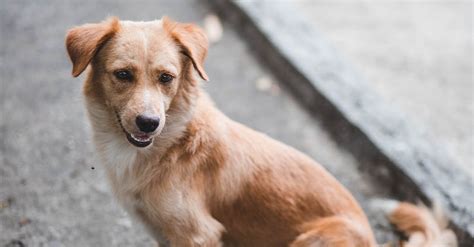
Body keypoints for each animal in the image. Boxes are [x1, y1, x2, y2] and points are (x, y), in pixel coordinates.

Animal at [65, 16, 458, 246]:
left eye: (166, 78)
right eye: (123, 75)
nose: (149, 123)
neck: (171, 143)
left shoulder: (197, 234)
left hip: (314, 239)